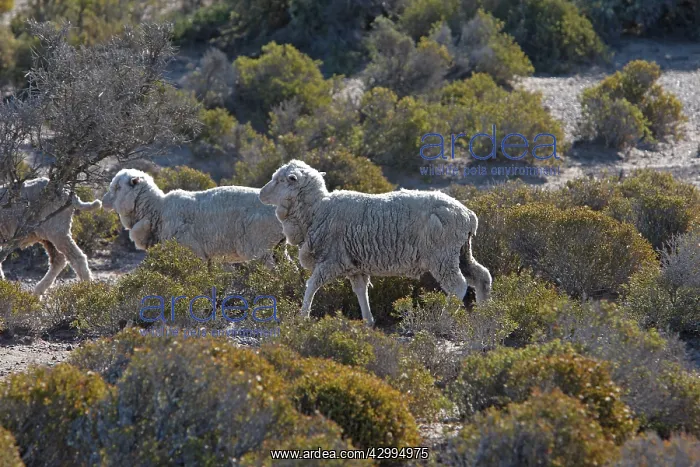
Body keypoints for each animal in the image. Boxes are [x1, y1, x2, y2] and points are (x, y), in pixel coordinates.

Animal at [101, 168, 286, 267]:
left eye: (117, 187)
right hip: (278, 248)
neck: (157, 209)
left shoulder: (191, 252)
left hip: (260, 248)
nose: (103, 201)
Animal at [259, 159, 492, 327]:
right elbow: (361, 291)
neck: (318, 210)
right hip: (460, 252)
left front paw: (302, 316)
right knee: (482, 276)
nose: (261, 194)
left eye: (280, 180)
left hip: (442, 256)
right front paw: (368, 321)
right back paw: (485, 313)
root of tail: (468, 215)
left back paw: (444, 319)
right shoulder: (354, 265)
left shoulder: (332, 260)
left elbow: (312, 285)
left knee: (458, 286)